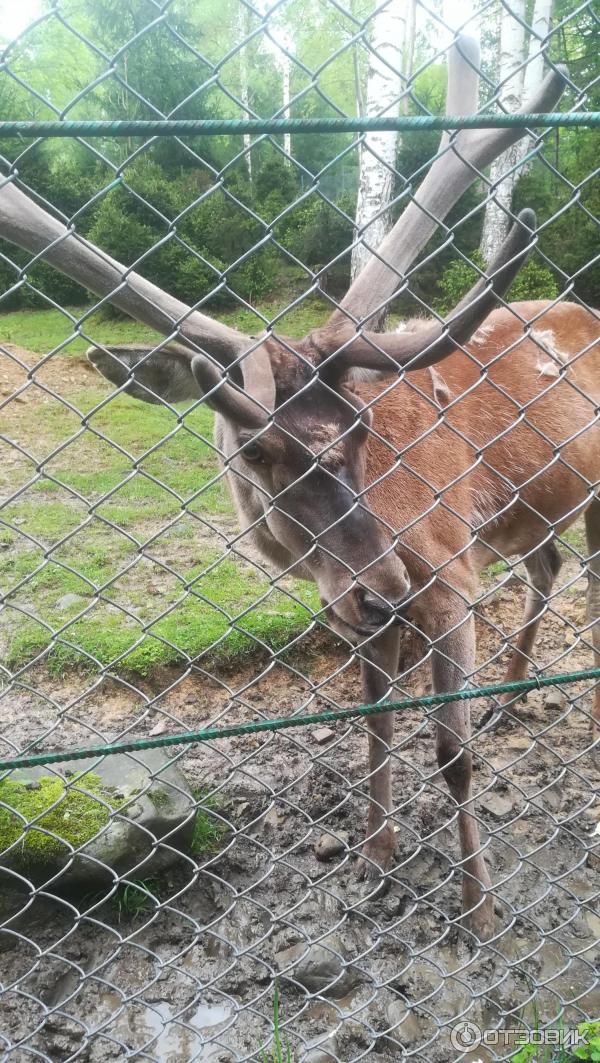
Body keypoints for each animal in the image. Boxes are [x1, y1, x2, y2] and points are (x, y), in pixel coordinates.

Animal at [1, 37, 595, 943]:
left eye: (361, 430)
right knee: (548, 564)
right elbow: (376, 724)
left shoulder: (449, 573)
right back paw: (515, 692)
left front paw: (478, 904)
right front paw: (376, 859)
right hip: (530, 511)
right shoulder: (370, 604)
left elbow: (451, 755)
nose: (382, 587)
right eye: (253, 450)